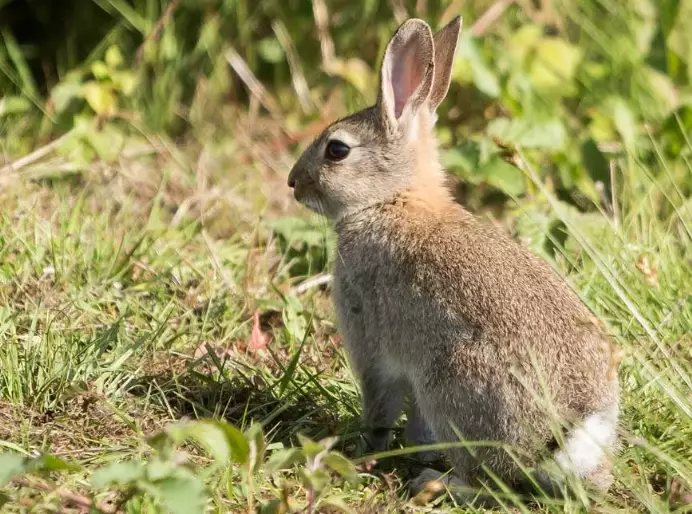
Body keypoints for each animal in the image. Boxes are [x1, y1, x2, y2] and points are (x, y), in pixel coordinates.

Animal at [287, 16, 620, 505]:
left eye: (337, 150)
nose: (293, 182)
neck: (392, 199)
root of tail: (571, 434)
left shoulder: (371, 345)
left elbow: (379, 408)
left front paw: (365, 451)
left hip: (453, 384)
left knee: (486, 481)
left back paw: (435, 483)